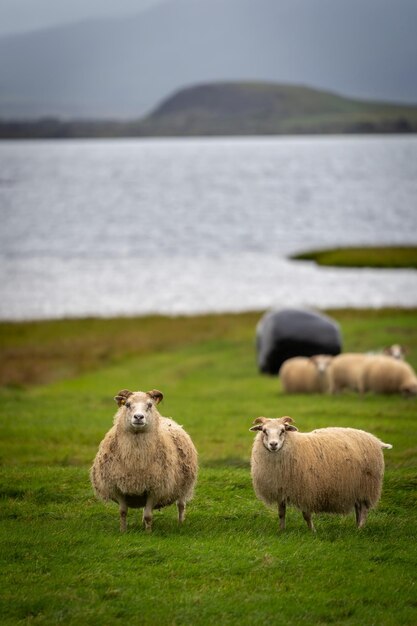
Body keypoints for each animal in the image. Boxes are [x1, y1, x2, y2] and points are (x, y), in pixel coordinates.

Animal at [89, 388, 198, 528]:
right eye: (127, 404)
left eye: (150, 405)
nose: (139, 417)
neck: (136, 460)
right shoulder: (118, 488)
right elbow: (123, 512)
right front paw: (123, 530)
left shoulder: (155, 489)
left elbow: (148, 516)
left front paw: (148, 531)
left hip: (184, 487)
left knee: (181, 505)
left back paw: (180, 523)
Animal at [250, 412, 390, 528]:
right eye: (264, 431)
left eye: (283, 430)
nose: (273, 444)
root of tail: (375, 440)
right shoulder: (280, 489)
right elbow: (281, 513)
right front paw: (282, 530)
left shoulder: (306, 490)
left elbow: (306, 515)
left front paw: (312, 531)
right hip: (355, 486)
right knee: (358, 508)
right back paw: (356, 526)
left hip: (367, 485)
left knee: (364, 510)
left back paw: (360, 528)